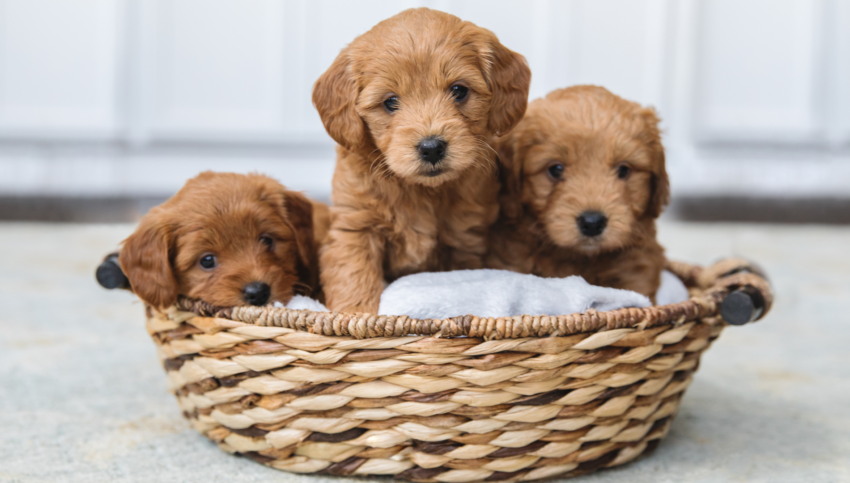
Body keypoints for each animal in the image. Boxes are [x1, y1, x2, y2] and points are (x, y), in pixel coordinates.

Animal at [312, 7, 528, 314]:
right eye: (390, 101)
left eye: (459, 90)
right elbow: (354, 277)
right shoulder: (355, 228)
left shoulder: (464, 241)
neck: (422, 191)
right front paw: (357, 315)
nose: (432, 147)